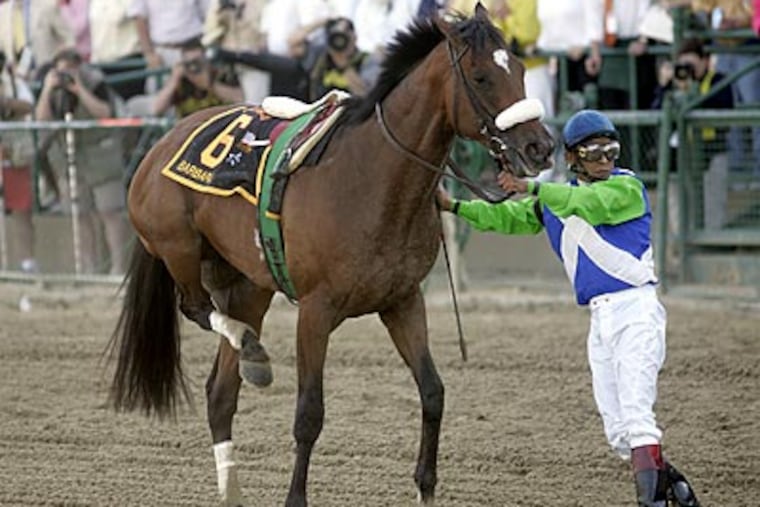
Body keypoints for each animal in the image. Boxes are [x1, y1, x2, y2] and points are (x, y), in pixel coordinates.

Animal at [108, 5, 554, 506]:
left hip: (248, 287)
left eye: (519, 69)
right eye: (480, 77)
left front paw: (426, 486)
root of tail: (160, 145)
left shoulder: (403, 301)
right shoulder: (316, 310)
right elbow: (309, 413)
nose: (540, 147)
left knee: (220, 392)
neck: (371, 176)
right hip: (179, 248)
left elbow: (433, 392)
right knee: (195, 308)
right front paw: (295, 497)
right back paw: (254, 353)